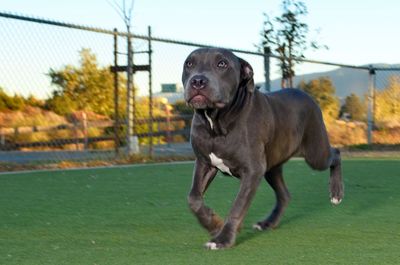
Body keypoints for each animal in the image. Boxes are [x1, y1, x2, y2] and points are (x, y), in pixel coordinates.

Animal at [182, 47, 344, 248]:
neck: (216, 122)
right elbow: (193, 199)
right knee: (284, 195)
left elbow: (237, 206)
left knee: (336, 154)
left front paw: (223, 238)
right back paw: (269, 222)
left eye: (222, 64)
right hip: (272, 166)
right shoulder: (204, 163)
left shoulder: (252, 171)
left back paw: (336, 192)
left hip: (315, 153)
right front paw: (214, 224)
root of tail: (304, 94)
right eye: (189, 63)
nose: (197, 80)